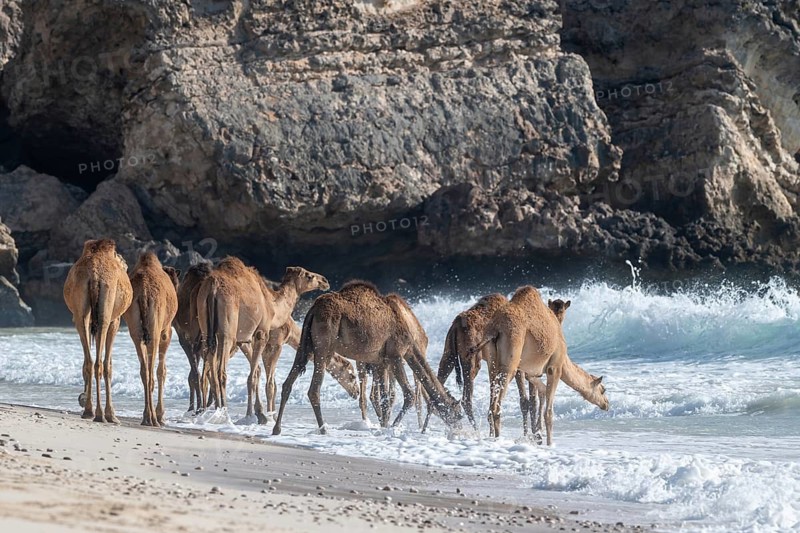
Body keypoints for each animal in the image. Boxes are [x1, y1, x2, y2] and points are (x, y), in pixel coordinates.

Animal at [63, 239, 132, 423]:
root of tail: (94, 276)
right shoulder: (116, 321)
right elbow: (109, 365)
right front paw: (112, 413)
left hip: (80, 313)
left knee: (89, 361)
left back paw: (88, 411)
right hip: (106, 312)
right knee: (100, 363)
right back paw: (103, 414)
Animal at [122, 253, 179, 426]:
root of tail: (144, 292)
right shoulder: (166, 331)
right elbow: (162, 371)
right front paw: (162, 415)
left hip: (134, 326)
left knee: (144, 371)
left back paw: (147, 416)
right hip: (155, 325)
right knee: (152, 370)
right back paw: (153, 418)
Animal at [273, 281, 462, 435]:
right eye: (458, 414)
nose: (459, 431)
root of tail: (312, 310)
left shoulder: (381, 360)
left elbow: (385, 397)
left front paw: (384, 426)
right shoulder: (396, 355)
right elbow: (408, 395)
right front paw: (391, 428)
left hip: (306, 343)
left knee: (289, 381)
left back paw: (277, 428)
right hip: (324, 344)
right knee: (314, 388)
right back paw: (323, 429)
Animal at [477, 286, 607, 445]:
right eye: (603, 390)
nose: (606, 404)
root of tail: (495, 329)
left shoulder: (531, 371)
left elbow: (539, 394)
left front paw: (537, 434)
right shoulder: (554, 368)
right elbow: (548, 412)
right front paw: (548, 443)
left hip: (493, 364)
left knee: (492, 403)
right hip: (511, 359)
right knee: (497, 406)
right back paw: (499, 439)